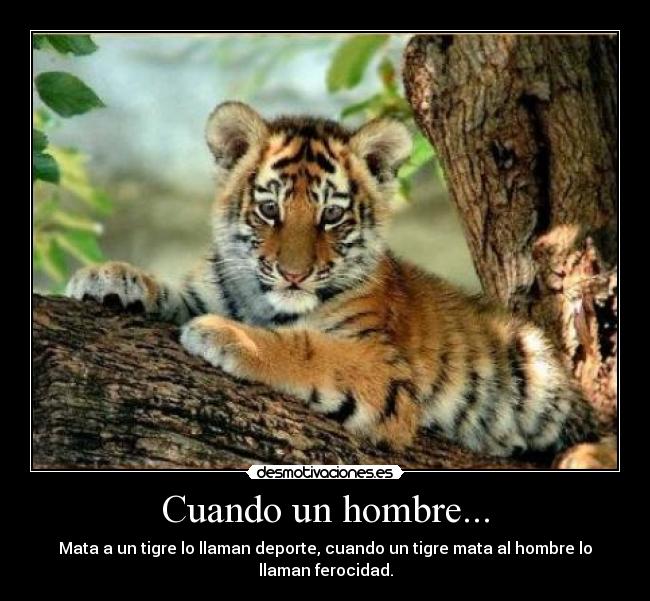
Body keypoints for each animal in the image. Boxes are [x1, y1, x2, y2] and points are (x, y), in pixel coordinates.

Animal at [65, 101, 616, 469]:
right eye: (270, 209)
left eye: (331, 216)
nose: (294, 273)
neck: (262, 301)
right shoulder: (210, 290)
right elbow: (173, 291)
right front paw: (109, 276)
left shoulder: (379, 364)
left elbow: (306, 348)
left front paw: (227, 335)